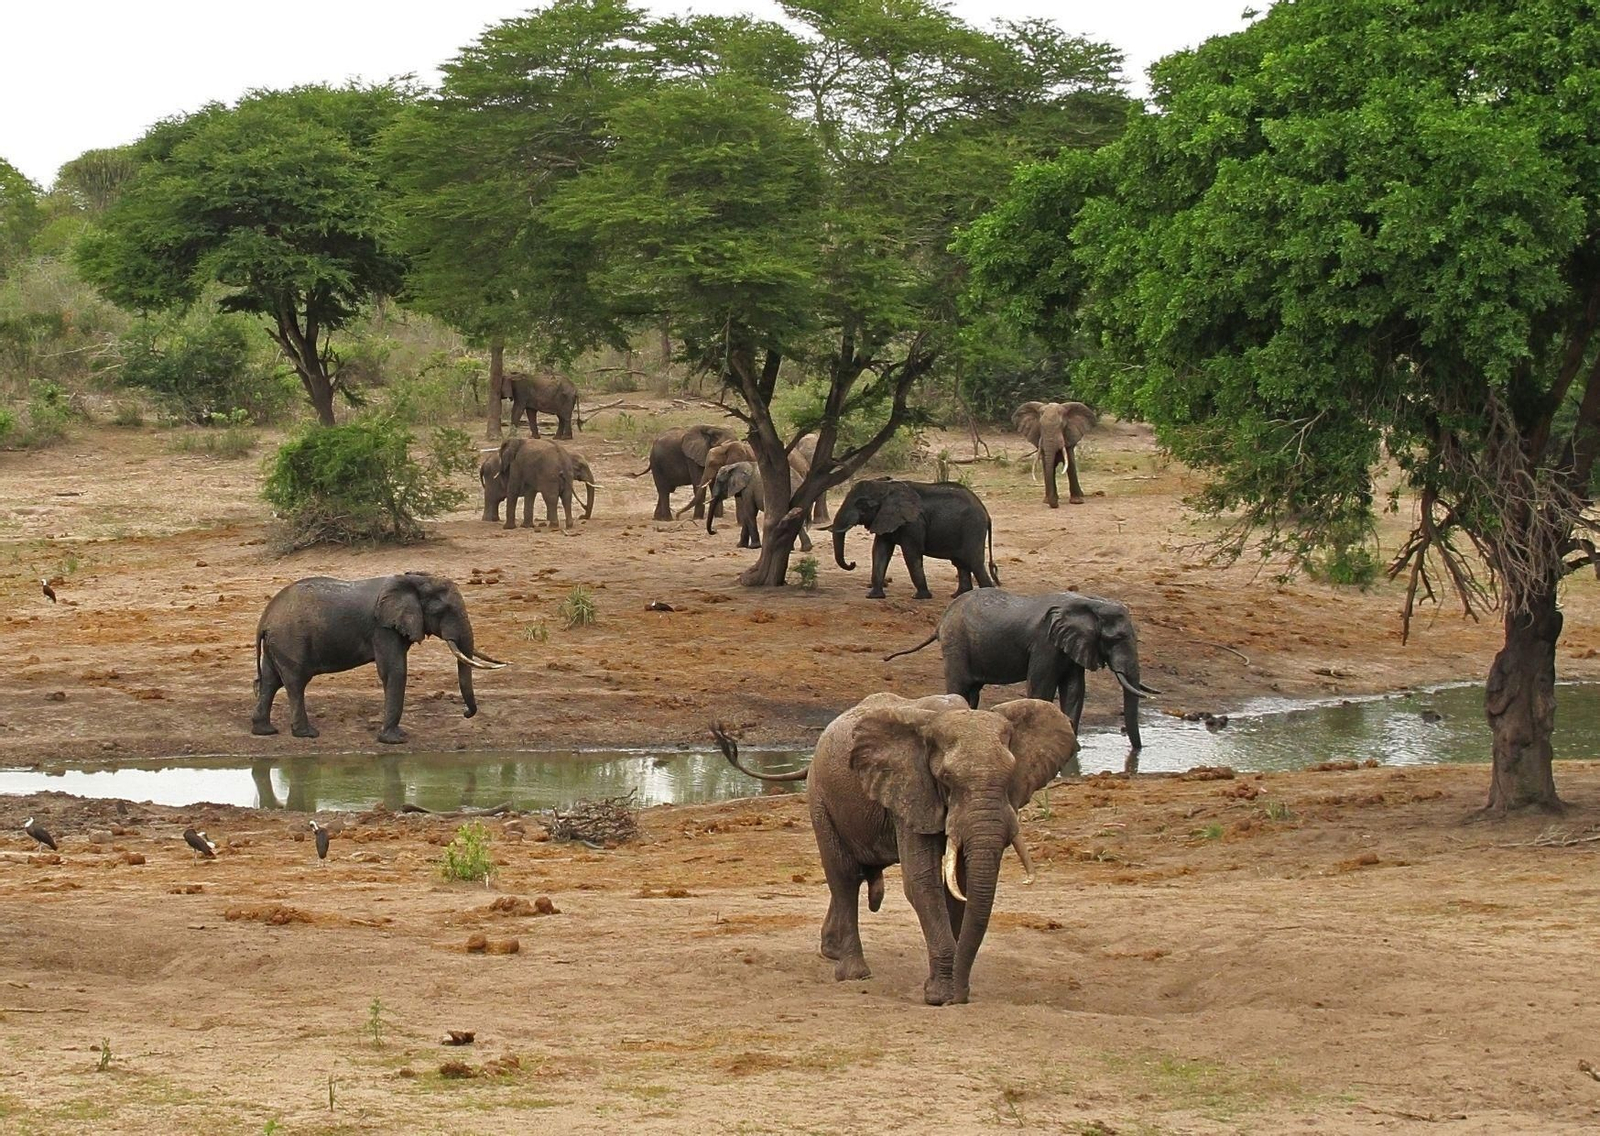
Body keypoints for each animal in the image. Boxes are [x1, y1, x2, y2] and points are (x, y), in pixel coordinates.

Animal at [251, 573, 507, 745]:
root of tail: (264, 619)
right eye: (444, 611)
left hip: (278, 643)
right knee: (295, 682)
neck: (413, 580)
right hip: (290, 640)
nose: (465, 714)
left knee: (271, 681)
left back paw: (265, 731)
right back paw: (307, 734)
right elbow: (395, 671)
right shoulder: (383, 628)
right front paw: (396, 740)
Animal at [713, 692, 1076, 1005]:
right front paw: (939, 996)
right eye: (946, 778)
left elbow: (958, 885)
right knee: (844, 877)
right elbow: (922, 883)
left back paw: (831, 951)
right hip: (821, 798)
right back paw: (852, 974)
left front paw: (950, 990)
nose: (961, 994)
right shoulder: (912, 788)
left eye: (1012, 774)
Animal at [828, 478, 999, 600]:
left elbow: (911, 553)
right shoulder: (884, 518)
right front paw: (873, 596)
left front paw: (920, 597)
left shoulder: (913, 523)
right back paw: (958, 596)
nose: (852, 563)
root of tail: (986, 513)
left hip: (973, 528)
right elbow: (880, 550)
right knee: (960, 563)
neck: (886, 487)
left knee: (974, 562)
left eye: (862, 505)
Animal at [884, 588, 1161, 753]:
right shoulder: (1045, 643)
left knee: (973, 692)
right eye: (1118, 638)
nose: (1138, 751)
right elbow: (1042, 687)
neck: (1089, 602)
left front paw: (1072, 749)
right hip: (956, 643)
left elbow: (1074, 690)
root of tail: (941, 620)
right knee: (960, 688)